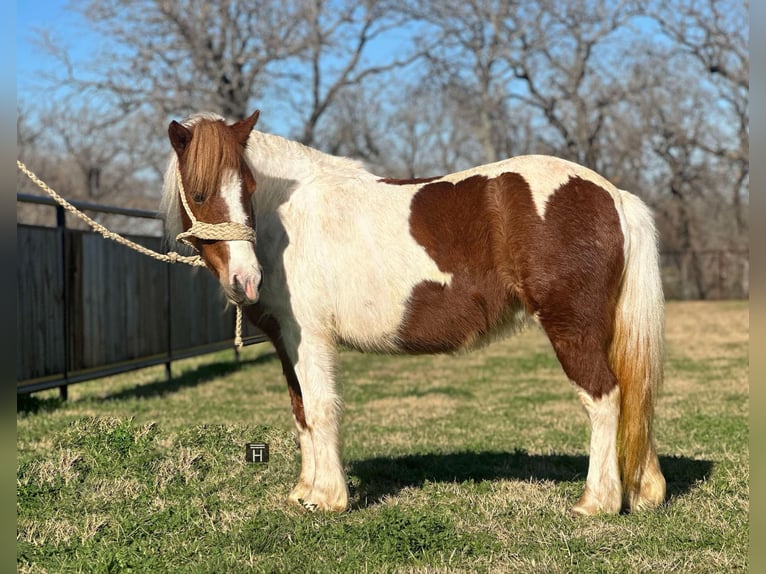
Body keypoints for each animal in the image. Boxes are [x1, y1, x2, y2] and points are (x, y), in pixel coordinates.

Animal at [162, 110, 664, 516]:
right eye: (200, 193)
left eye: (248, 188)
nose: (245, 281)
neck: (288, 221)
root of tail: (613, 195)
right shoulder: (287, 341)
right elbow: (300, 410)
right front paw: (304, 491)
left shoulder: (311, 337)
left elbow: (322, 408)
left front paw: (328, 499)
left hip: (572, 328)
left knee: (603, 398)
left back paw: (596, 503)